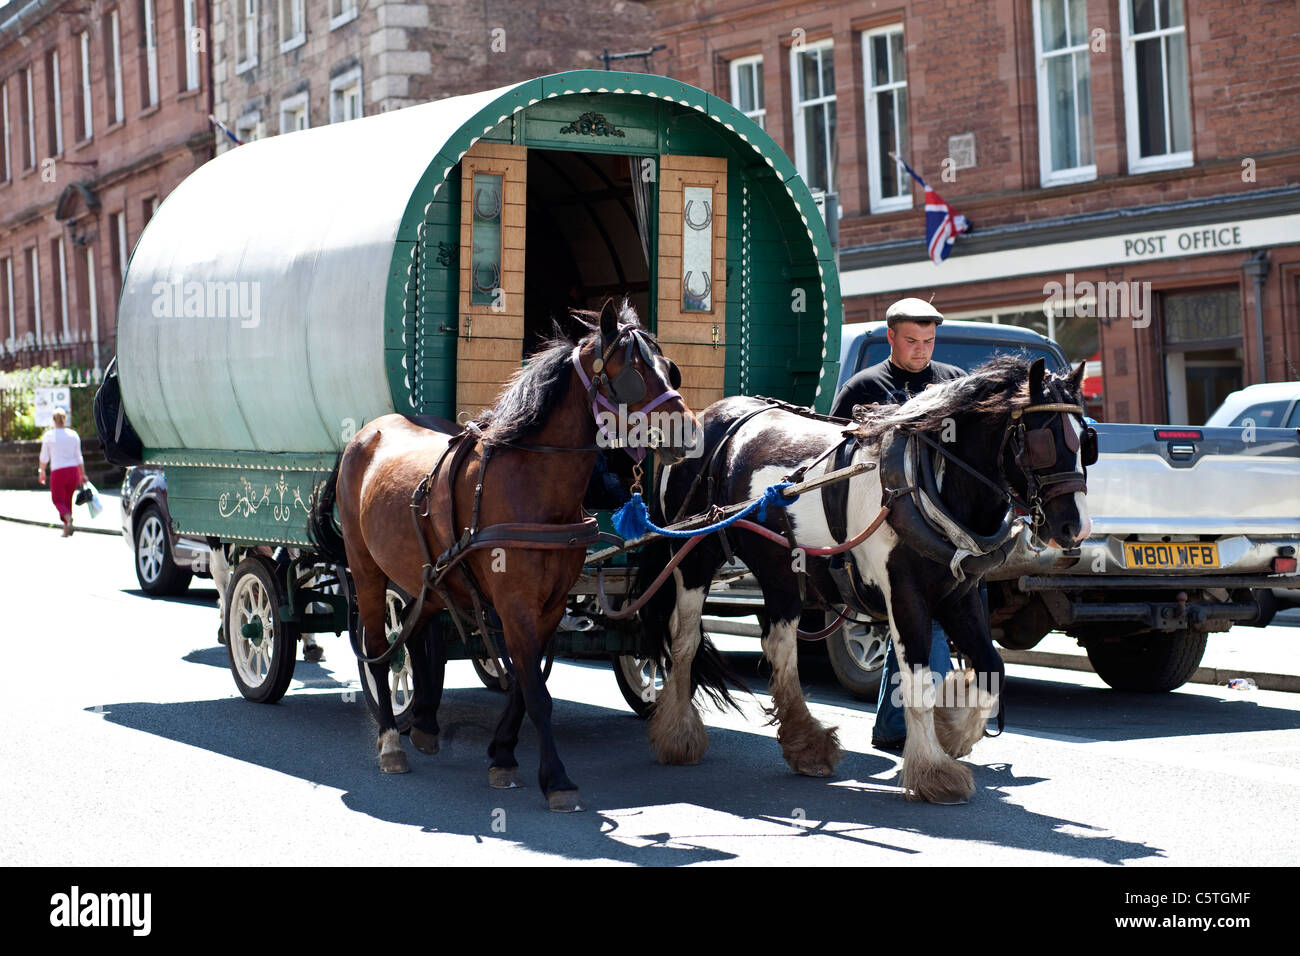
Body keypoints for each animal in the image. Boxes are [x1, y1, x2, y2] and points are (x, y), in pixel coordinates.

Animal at [310, 299, 696, 806]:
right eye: (631, 373)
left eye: (669, 368)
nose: (688, 432)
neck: (532, 483)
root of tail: (365, 433)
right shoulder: (514, 602)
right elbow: (534, 689)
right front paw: (556, 779)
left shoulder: (550, 604)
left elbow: (528, 683)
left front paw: (502, 753)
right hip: (366, 568)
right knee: (379, 646)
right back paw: (391, 740)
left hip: (432, 577)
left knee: (417, 630)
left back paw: (426, 725)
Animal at [644, 356, 1092, 806]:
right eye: (1043, 440)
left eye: (1086, 441)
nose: (1077, 528)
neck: (923, 482)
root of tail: (710, 416)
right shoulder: (905, 594)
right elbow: (916, 678)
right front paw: (933, 771)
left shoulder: (960, 595)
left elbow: (991, 668)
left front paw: (952, 731)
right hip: (695, 556)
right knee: (685, 641)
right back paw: (679, 735)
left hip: (781, 568)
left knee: (779, 644)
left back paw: (806, 742)